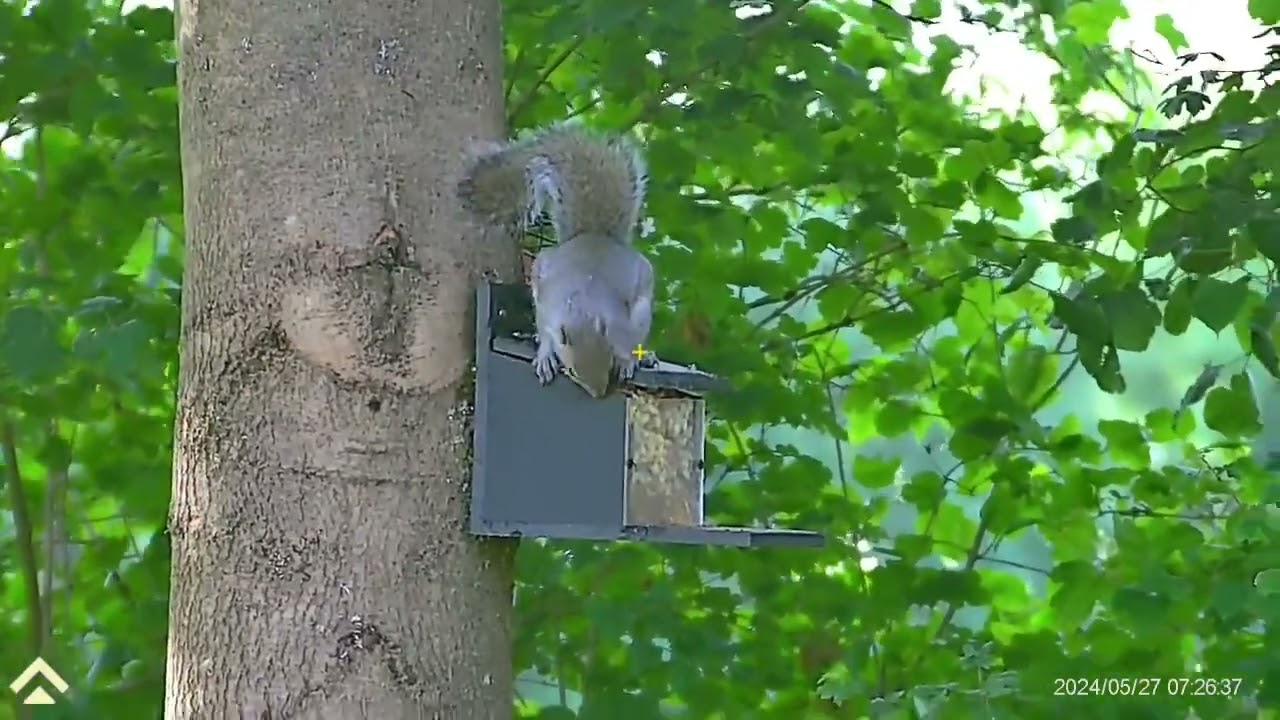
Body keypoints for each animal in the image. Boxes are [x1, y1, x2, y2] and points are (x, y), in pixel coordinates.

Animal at [458, 123, 658, 398]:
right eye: (572, 370)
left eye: (607, 366)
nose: (597, 395)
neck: (584, 310)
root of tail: (594, 236)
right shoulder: (547, 306)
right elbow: (544, 331)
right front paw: (545, 357)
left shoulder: (622, 321)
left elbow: (627, 341)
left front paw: (626, 361)